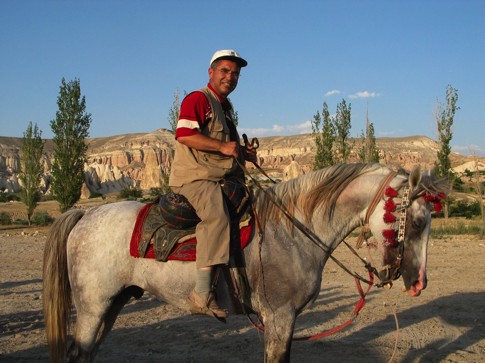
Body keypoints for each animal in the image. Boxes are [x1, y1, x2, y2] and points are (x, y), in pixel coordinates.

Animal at [42, 164, 446, 362]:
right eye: (418, 222)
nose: (419, 283)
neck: (293, 229)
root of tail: (84, 214)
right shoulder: (279, 317)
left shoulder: (284, 320)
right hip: (93, 307)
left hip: (112, 304)